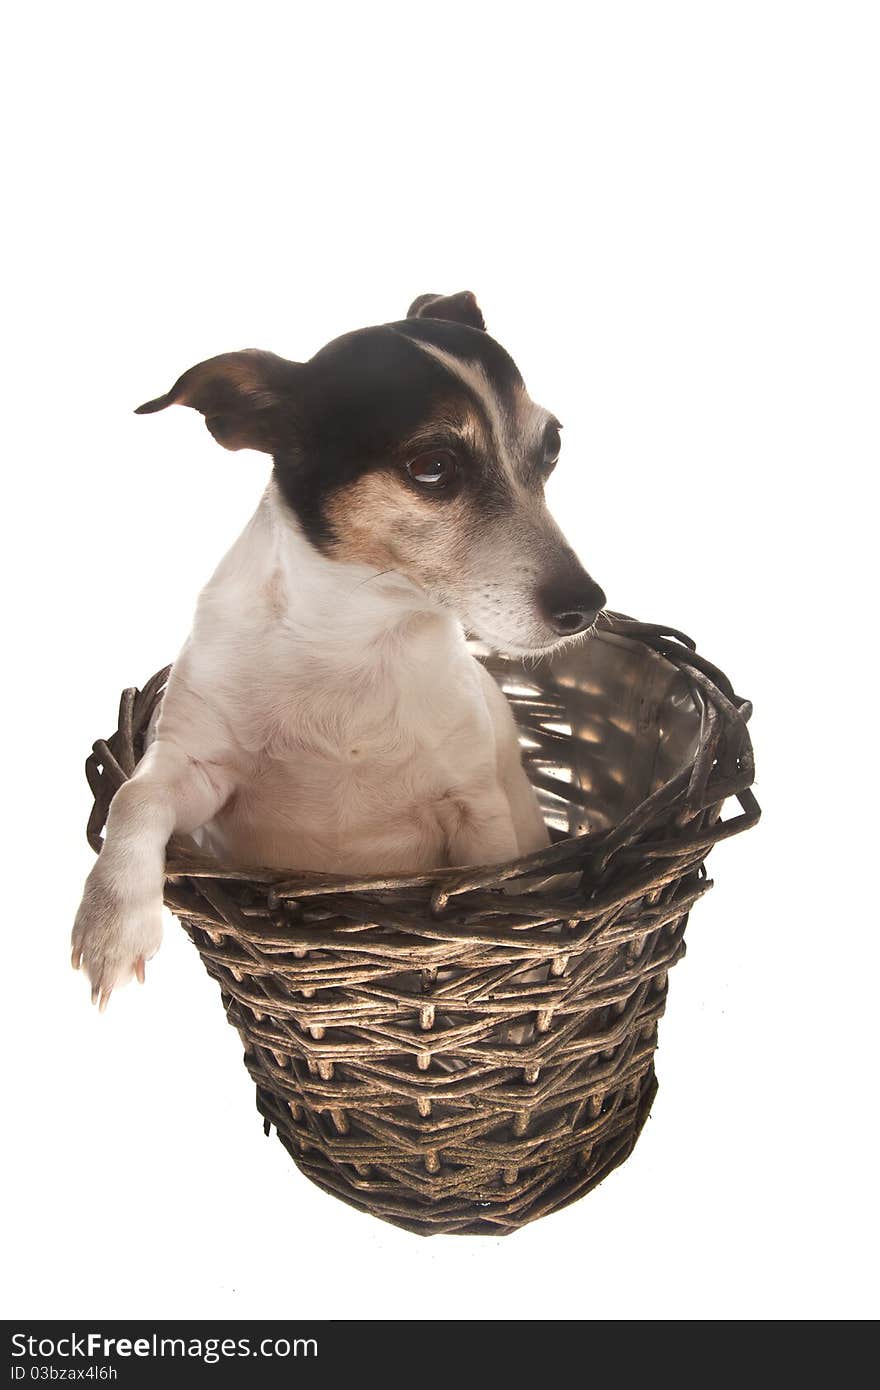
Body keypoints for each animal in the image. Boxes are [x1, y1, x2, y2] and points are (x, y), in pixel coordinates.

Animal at [71, 296, 603, 1011]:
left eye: (551, 448)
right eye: (432, 466)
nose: (588, 604)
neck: (355, 640)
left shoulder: (479, 816)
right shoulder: (197, 772)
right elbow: (136, 795)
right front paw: (112, 922)